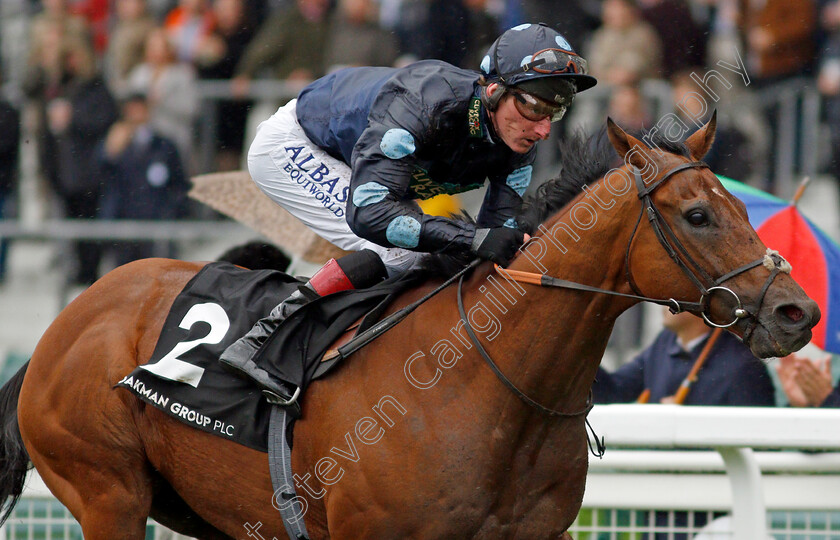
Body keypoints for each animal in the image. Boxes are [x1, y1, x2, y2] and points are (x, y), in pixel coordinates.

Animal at [0, 116, 816, 536]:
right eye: (699, 214)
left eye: (741, 207)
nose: (797, 312)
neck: (489, 386)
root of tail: (64, 324)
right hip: (107, 490)